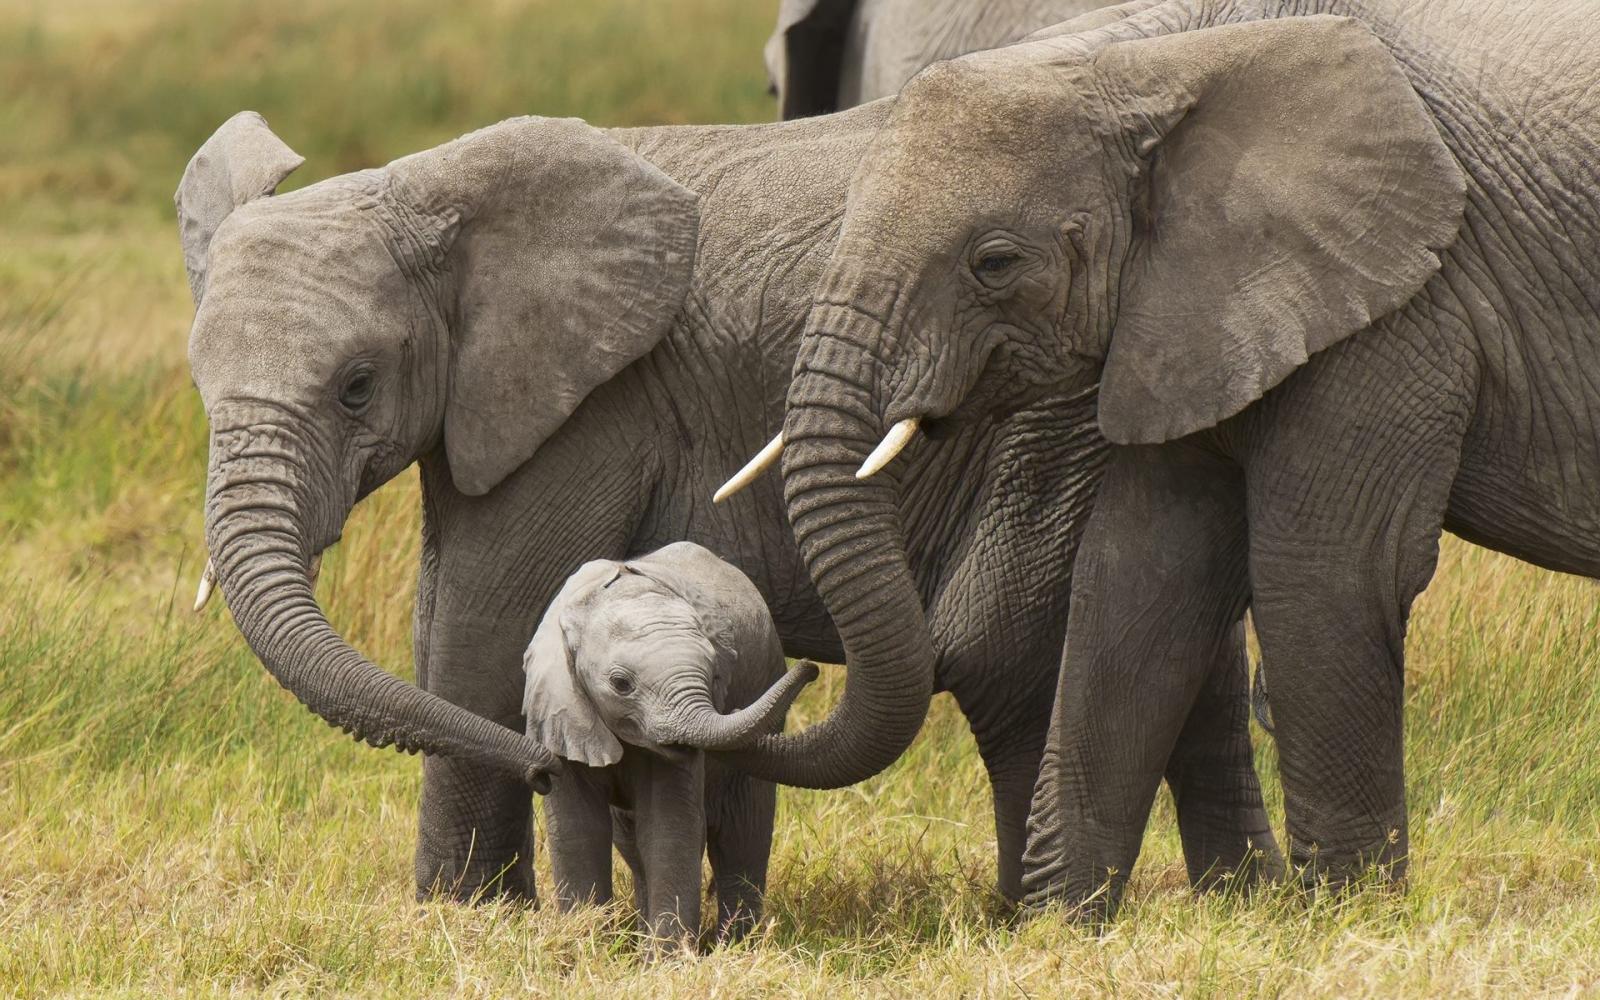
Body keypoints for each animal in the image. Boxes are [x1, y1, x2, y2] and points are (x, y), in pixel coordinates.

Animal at [524, 543, 816, 946]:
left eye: (715, 676)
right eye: (621, 684)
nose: (811, 668)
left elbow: (670, 829)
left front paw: (668, 958)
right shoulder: (561, 706)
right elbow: (578, 829)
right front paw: (586, 945)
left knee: (743, 837)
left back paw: (738, 945)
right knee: (632, 843)